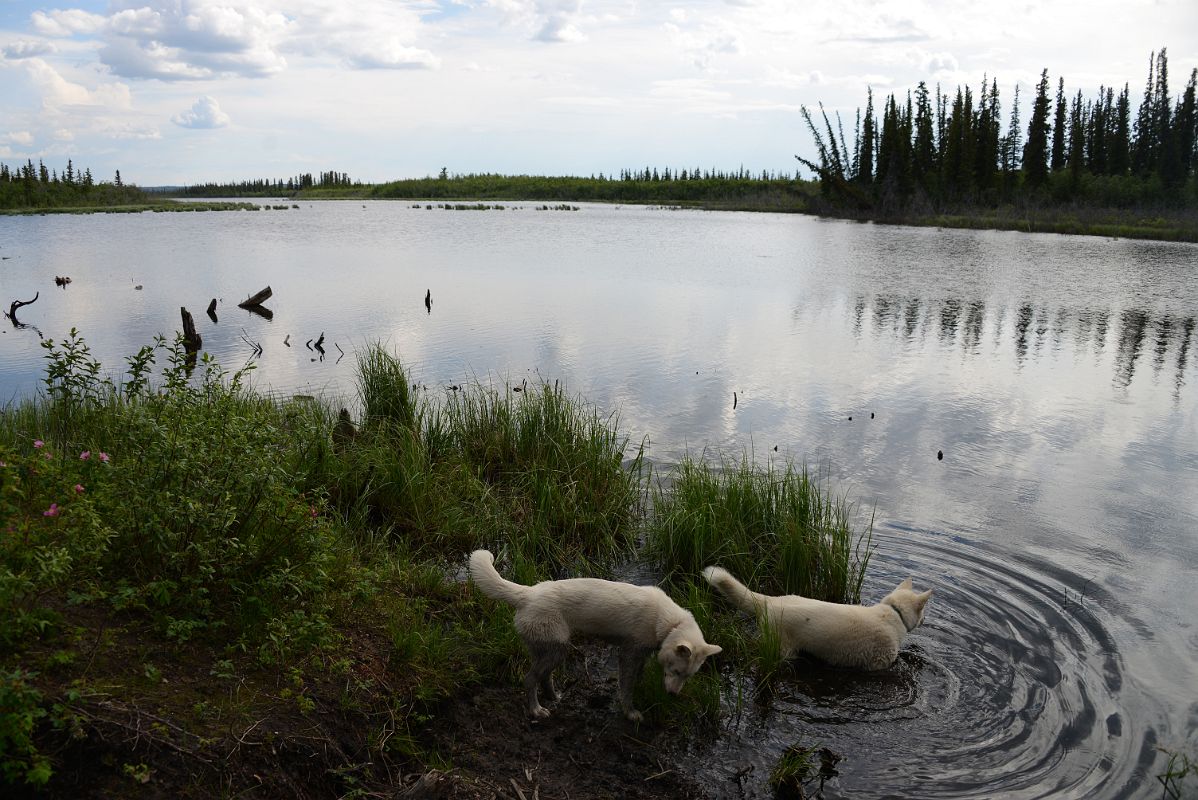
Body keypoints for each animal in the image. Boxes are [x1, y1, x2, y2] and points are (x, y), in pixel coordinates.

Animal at [472, 546, 723, 723]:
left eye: (687, 676)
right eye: (677, 671)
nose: (672, 695)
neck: (669, 624)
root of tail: (527, 594)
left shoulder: (640, 654)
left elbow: (637, 678)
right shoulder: (629, 654)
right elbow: (627, 688)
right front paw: (630, 713)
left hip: (546, 650)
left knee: (544, 677)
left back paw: (554, 698)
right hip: (557, 649)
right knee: (530, 679)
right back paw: (536, 710)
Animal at [704, 565, 929, 670]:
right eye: (924, 611)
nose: (925, 621)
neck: (895, 613)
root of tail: (771, 600)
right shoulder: (878, 665)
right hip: (784, 651)